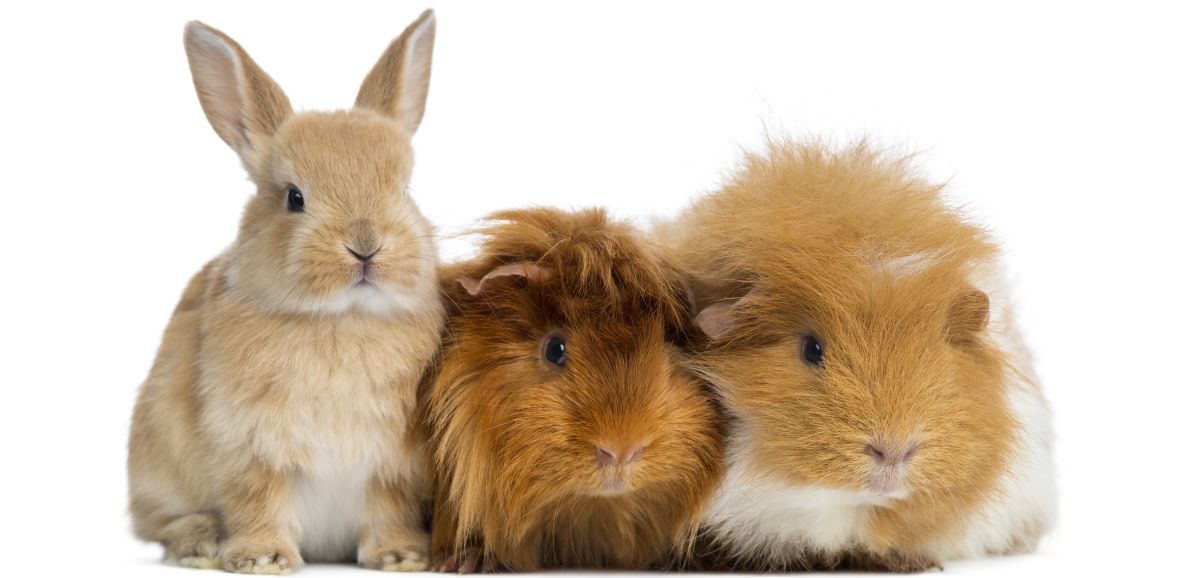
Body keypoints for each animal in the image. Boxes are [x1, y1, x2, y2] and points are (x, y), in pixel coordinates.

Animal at [127, 10, 445, 574]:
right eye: (294, 198)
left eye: (406, 190)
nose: (365, 246)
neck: (342, 318)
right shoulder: (248, 447)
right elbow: (258, 499)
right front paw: (262, 557)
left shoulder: (393, 466)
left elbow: (389, 507)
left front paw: (401, 555)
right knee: (161, 524)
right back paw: (201, 541)